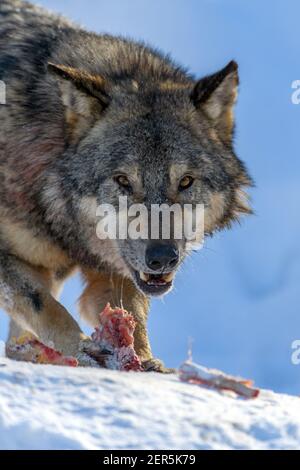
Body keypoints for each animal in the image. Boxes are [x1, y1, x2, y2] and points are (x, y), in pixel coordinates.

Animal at [0, 0, 252, 370]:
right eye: (123, 181)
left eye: (185, 181)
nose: (162, 258)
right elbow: (45, 308)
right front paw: (85, 351)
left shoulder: (113, 271)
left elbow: (131, 315)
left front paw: (144, 362)